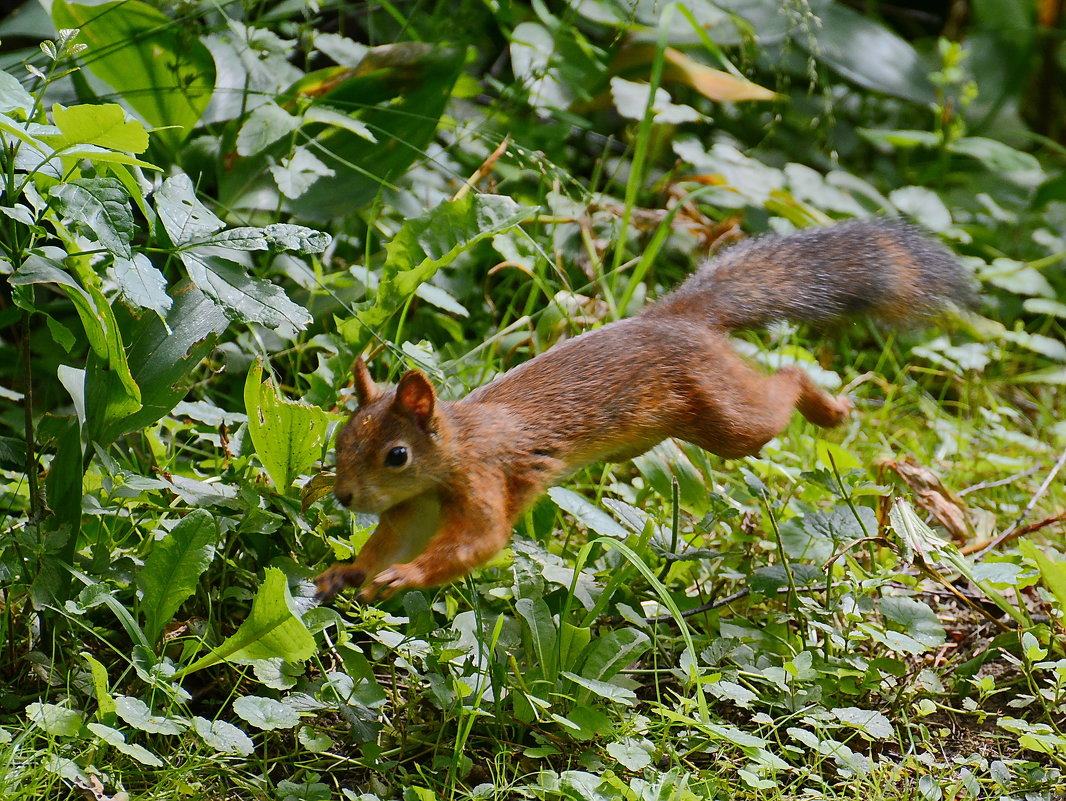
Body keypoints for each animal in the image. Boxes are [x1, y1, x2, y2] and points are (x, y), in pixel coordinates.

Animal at [311, 219, 976, 601]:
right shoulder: (412, 512)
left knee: (784, 381)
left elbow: (481, 542)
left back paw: (829, 409)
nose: (343, 496)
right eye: (339, 441)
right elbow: (390, 543)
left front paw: (407, 578)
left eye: (397, 454)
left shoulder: (485, 479)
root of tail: (676, 321)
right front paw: (348, 573)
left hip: (727, 415)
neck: (453, 448)